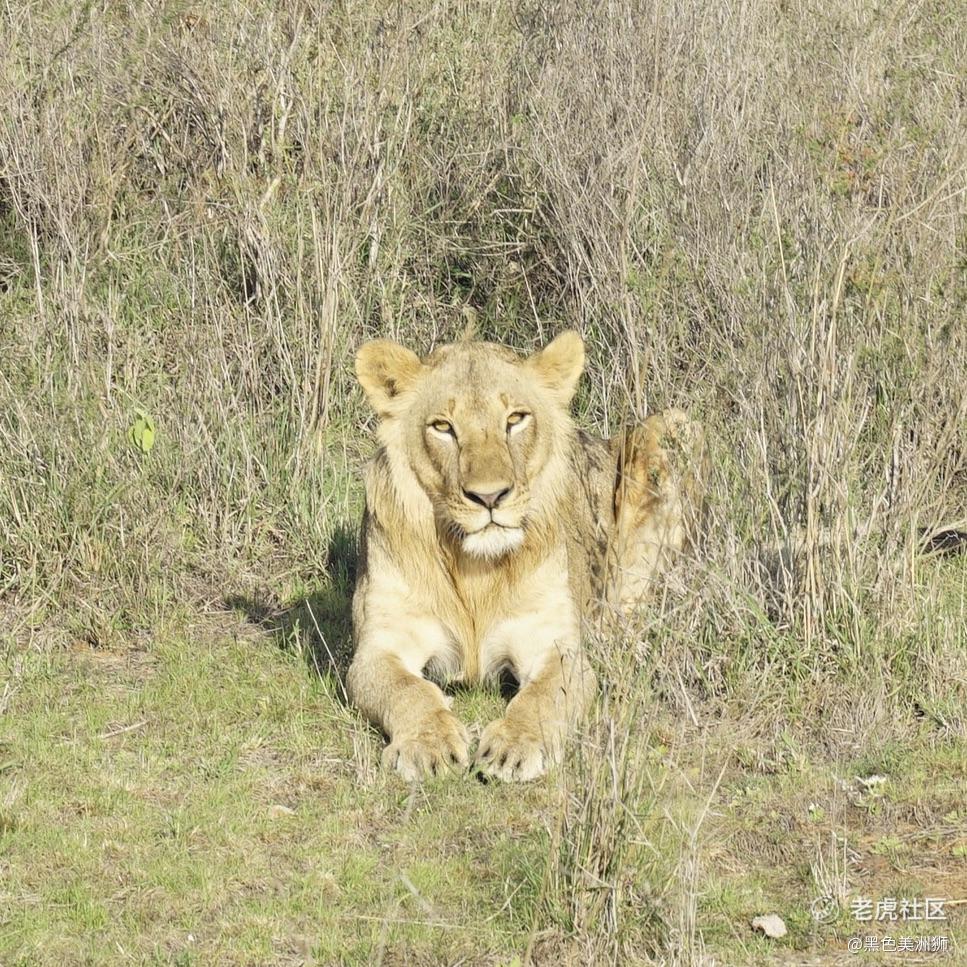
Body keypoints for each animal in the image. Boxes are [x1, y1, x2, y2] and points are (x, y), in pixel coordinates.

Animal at [348, 328, 704, 784]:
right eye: (443, 427)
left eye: (515, 419)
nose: (489, 497)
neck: (475, 569)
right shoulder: (380, 646)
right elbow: (409, 689)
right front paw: (428, 745)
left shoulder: (554, 645)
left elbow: (541, 696)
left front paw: (515, 747)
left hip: (675, 424)